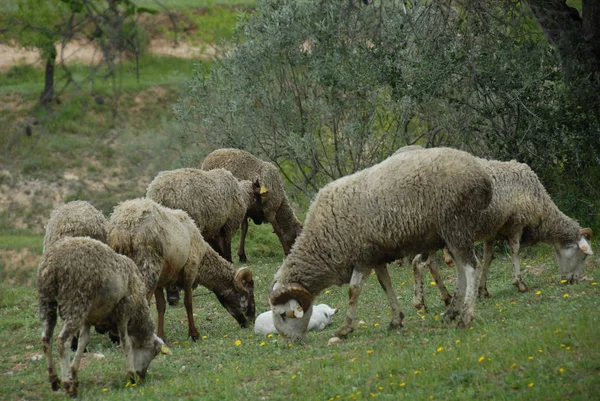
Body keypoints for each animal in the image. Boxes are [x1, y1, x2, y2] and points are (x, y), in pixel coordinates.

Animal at [37, 236, 170, 396]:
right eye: (154, 353)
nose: (142, 376)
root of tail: (52, 264)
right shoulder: (124, 312)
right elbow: (126, 343)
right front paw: (131, 375)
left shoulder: (88, 319)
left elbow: (83, 342)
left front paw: (74, 374)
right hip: (76, 302)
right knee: (62, 341)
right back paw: (67, 385)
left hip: (47, 301)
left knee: (46, 338)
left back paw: (54, 379)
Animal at [108, 198, 255, 340]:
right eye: (248, 293)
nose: (251, 320)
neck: (203, 259)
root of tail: (123, 230)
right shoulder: (190, 271)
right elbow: (188, 303)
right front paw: (194, 334)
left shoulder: (161, 280)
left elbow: (161, 307)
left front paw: (162, 336)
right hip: (148, 267)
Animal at [268, 145, 492, 340]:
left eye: (282, 314)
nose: (288, 340)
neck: (321, 241)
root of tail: (482, 175)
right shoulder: (376, 257)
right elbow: (386, 285)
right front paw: (396, 320)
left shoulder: (362, 256)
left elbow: (353, 290)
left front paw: (345, 329)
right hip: (449, 234)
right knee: (462, 270)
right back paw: (451, 312)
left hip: (457, 224)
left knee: (471, 267)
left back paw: (465, 317)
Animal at [410, 156, 592, 306]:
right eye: (583, 256)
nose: (574, 280)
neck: (541, 205)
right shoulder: (516, 223)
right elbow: (515, 251)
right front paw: (520, 284)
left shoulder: (491, 231)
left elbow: (488, 259)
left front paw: (482, 290)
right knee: (420, 263)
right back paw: (420, 303)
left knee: (422, 262)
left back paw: (442, 298)